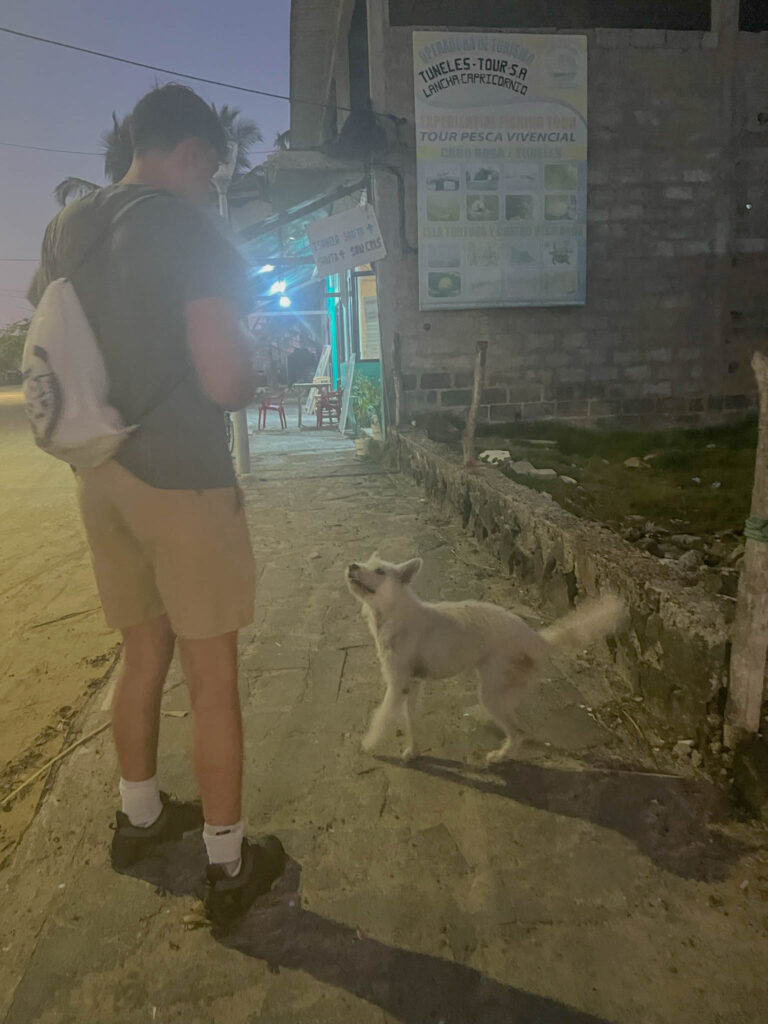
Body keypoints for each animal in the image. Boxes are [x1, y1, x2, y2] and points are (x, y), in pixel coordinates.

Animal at [348, 557, 626, 765]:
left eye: (380, 571)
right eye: (367, 562)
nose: (352, 565)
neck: (394, 613)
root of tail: (536, 638)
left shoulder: (396, 686)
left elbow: (382, 717)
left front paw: (368, 744)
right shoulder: (411, 685)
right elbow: (411, 720)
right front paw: (413, 751)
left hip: (492, 692)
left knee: (519, 731)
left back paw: (500, 756)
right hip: (500, 690)